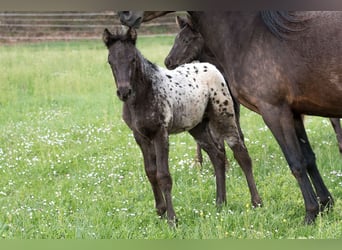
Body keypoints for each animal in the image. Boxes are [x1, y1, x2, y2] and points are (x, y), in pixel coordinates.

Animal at [103, 27, 258, 225]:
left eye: (132, 59)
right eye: (110, 61)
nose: (124, 92)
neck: (145, 93)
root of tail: (211, 67)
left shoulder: (160, 133)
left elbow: (163, 175)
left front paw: (172, 219)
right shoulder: (140, 136)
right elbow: (150, 172)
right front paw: (160, 211)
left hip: (224, 116)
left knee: (241, 154)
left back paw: (256, 202)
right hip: (197, 127)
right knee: (217, 156)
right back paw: (220, 202)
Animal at [118, 10, 342, 224]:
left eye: (187, 40)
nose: (125, 14)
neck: (251, 35)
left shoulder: (274, 112)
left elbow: (296, 162)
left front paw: (310, 213)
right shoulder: (293, 113)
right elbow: (309, 158)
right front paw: (325, 204)